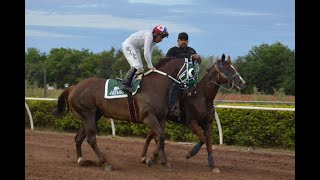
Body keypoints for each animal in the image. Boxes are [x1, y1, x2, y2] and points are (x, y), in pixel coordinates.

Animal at [55, 58, 188, 172]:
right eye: (192, 66)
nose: (189, 87)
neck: (156, 86)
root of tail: (73, 87)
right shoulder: (148, 116)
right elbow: (159, 136)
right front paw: (151, 159)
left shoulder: (161, 118)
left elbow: (159, 137)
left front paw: (162, 161)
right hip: (88, 114)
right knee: (91, 139)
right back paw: (105, 163)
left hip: (91, 116)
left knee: (79, 138)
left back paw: (81, 160)